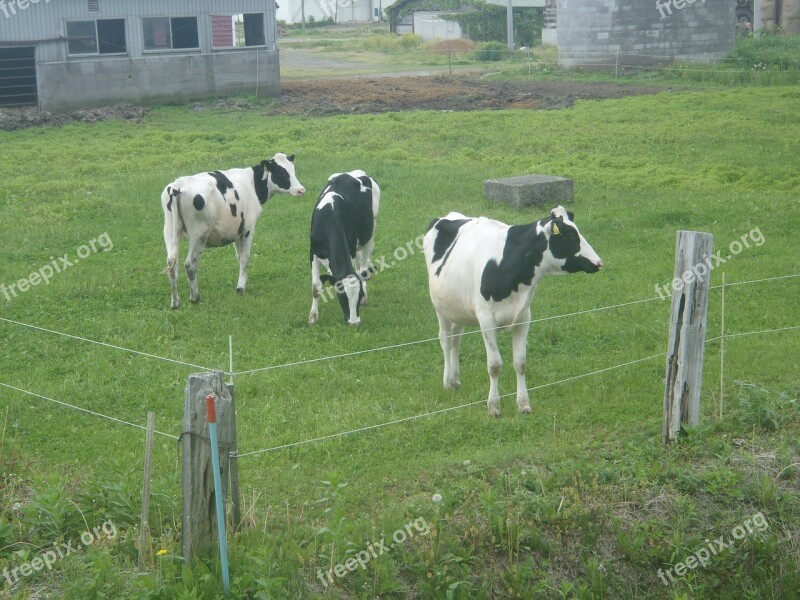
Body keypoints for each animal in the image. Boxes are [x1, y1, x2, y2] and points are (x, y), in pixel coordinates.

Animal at [161, 152, 304, 308]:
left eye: (293, 170)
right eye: (282, 173)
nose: (301, 190)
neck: (251, 184)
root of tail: (178, 185)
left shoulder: (237, 232)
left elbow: (239, 257)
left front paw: (244, 283)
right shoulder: (248, 228)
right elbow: (245, 258)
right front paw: (241, 288)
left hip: (170, 231)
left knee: (172, 263)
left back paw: (175, 302)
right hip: (199, 234)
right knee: (190, 264)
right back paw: (195, 297)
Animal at [308, 169, 380, 326]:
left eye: (359, 295)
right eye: (342, 296)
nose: (354, 322)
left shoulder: (351, 248)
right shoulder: (313, 253)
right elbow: (316, 287)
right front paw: (312, 317)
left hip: (370, 233)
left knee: (364, 270)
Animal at [424, 206, 600, 418]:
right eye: (569, 235)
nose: (598, 262)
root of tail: (448, 216)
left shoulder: (524, 318)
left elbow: (520, 362)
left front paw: (523, 404)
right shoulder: (486, 320)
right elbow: (494, 365)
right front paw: (493, 407)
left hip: (457, 307)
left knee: (456, 339)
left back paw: (456, 379)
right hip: (440, 308)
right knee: (446, 340)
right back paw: (448, 381)